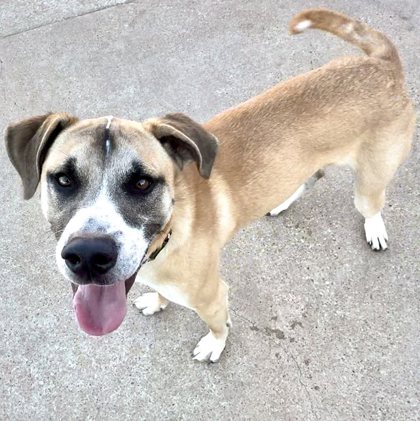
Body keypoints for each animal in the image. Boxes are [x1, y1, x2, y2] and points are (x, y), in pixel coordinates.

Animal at [4, 8, 416, 360]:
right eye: (63, 179)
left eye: (142, 183)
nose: (88, 256)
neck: (168, 237)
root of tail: (382, 63)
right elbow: (160, 293)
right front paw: (157, 301)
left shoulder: (213, 295)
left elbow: (218, 324)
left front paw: (214, 345)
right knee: (315, 174)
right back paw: (284, 200)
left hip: (371, 178)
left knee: (370, 204)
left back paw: (374, 228)